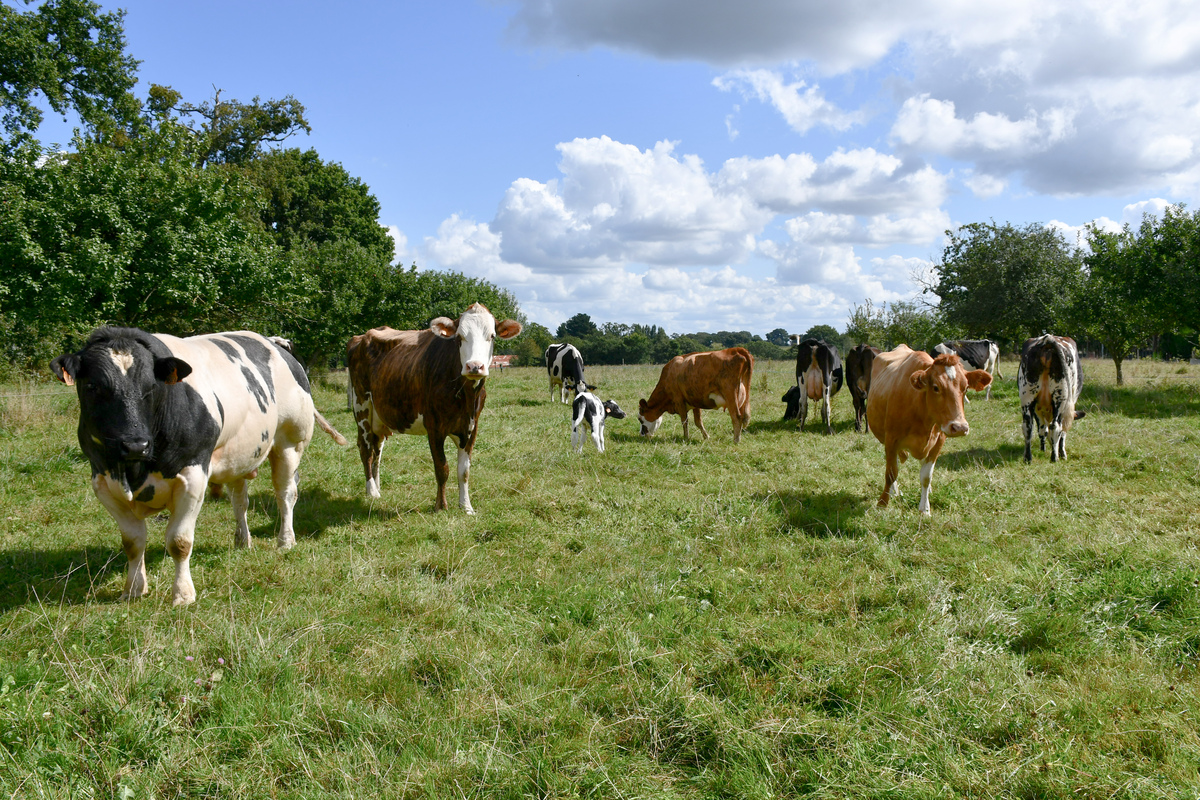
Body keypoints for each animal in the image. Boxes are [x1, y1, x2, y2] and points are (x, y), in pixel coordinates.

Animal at [51, 326, 348, 606]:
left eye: (152, 387)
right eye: (92, 387)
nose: (135, 445)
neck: (134, 471)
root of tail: (274, 341)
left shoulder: (192, 476)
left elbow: (179, 541)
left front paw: (183, 594)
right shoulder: (103, 481)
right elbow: (132, 543)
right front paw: (133, 590)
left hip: (290, 442)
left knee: (285, 494)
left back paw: (285, 541)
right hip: (239, 455)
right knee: (240, 500)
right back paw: (242, 541)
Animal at [343, 303, 520, 515]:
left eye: (492, 336)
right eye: (459, 337)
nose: (475, 366)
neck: (466, 398)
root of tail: (361, 336)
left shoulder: (471, 427)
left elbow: (464, 471)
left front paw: (466, 506)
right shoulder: (435, 427)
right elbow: (442, 468)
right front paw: (440, 506)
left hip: (380, 416)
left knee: (377, 449)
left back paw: (377, 487)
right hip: (362, 407)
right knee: (366, 448)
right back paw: (371, 491)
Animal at [868, 347, 988, 515]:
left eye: (965, 388)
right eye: (936, 387)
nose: (959, 427)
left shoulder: (938, 442)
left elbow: (926, 476)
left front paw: (925, 508)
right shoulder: (891, 440)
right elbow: (891, 473)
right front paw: (882, 503)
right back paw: (893, 491)